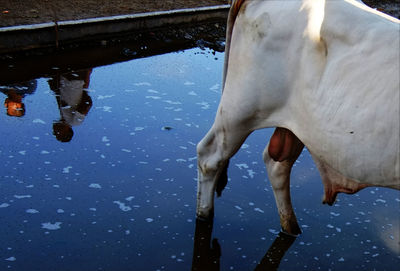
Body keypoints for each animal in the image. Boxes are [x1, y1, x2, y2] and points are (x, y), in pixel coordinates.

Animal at [195, 0, 398, 236]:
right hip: (240, 111)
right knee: (209, 157)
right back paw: (204, 216)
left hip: (294, 127)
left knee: (277, 166)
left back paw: (291, 227)